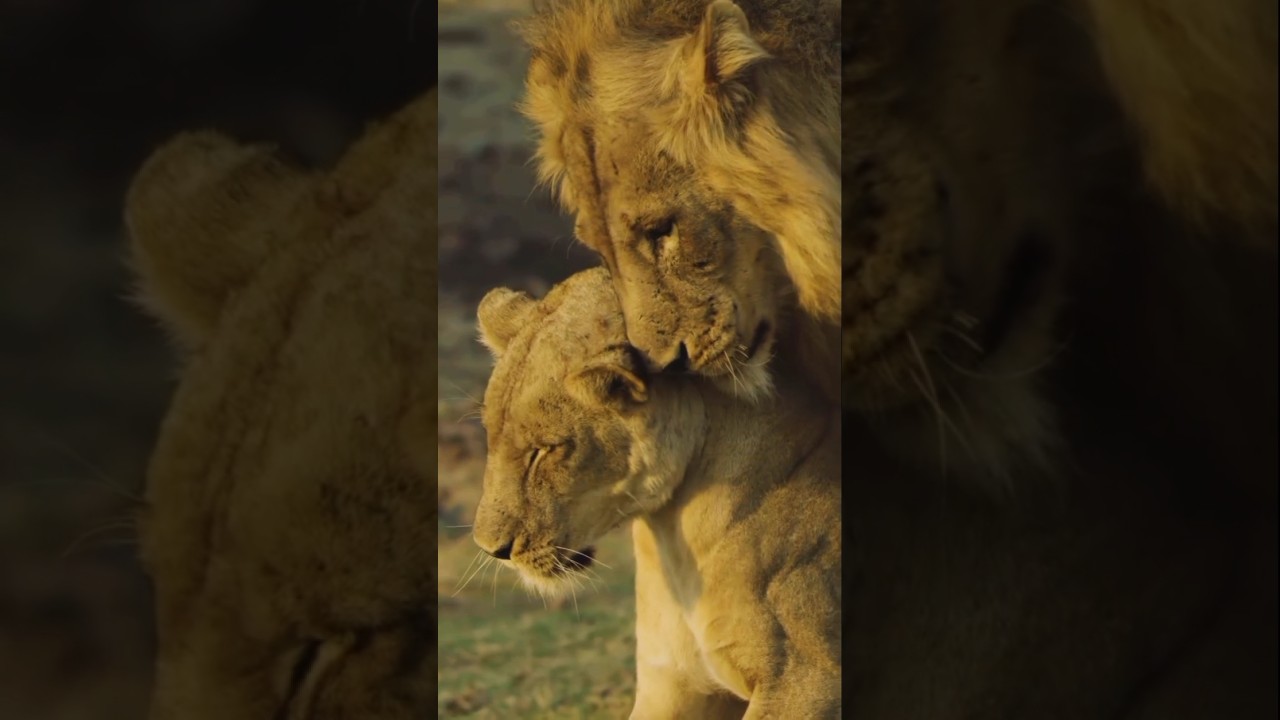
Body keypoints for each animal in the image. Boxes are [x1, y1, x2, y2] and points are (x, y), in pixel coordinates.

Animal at [471, 267, 841, 719]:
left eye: (544, 450)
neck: (672, 538)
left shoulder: (807, 677)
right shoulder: (669, 683)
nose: (491, 550)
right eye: (491, 436)